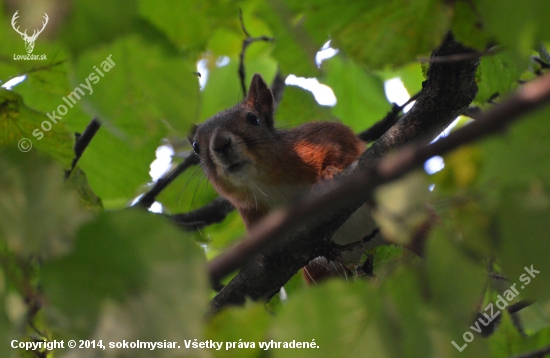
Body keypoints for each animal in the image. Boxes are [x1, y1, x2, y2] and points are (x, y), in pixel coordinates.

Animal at [192, 73, 386, 282]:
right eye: (195, 146)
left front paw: (329, 172)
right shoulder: (250, 210)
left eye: (252, 118)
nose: (220, 143)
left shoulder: (317, 137)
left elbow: (343, 145)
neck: (266, 183)